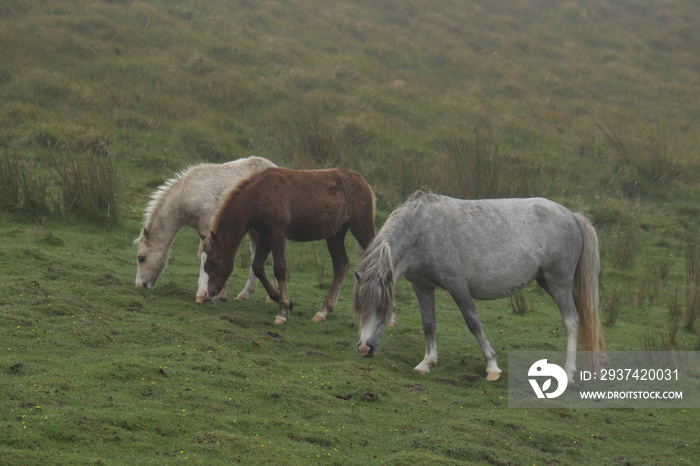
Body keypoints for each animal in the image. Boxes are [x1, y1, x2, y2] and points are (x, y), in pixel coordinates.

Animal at [131, 157, 276, 302]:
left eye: (141, 258)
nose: (139, 285)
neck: (187, 192)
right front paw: (220, 294)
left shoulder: (208, 224)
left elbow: (203, 255)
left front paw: (205, 294)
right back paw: (246, 293)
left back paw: (271, 297)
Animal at [200, 167, 378, 324]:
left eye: (214, 261)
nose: (209, 294)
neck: (260, 196)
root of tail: (365, 183)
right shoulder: (264, 236)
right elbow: (258, 266)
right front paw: (285, 301)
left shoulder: (277, 234)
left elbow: (280, 269)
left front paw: (283, 311)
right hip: (335, 234)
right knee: (341, 265)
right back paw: (323, 312)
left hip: (361, 226)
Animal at [356, 189, 608, 382]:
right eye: (360, 309)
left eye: (383, 308)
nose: (364, 348)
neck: (422, 229)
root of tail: (572, 215)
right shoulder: (422, 286)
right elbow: (428, 324)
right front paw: (427, 362)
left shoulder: (457, 284)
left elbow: (473, 323)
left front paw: (492, 366)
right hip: (548, 282)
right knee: (586, 317)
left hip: (559, 282)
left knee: (572, 321)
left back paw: (569, 372)